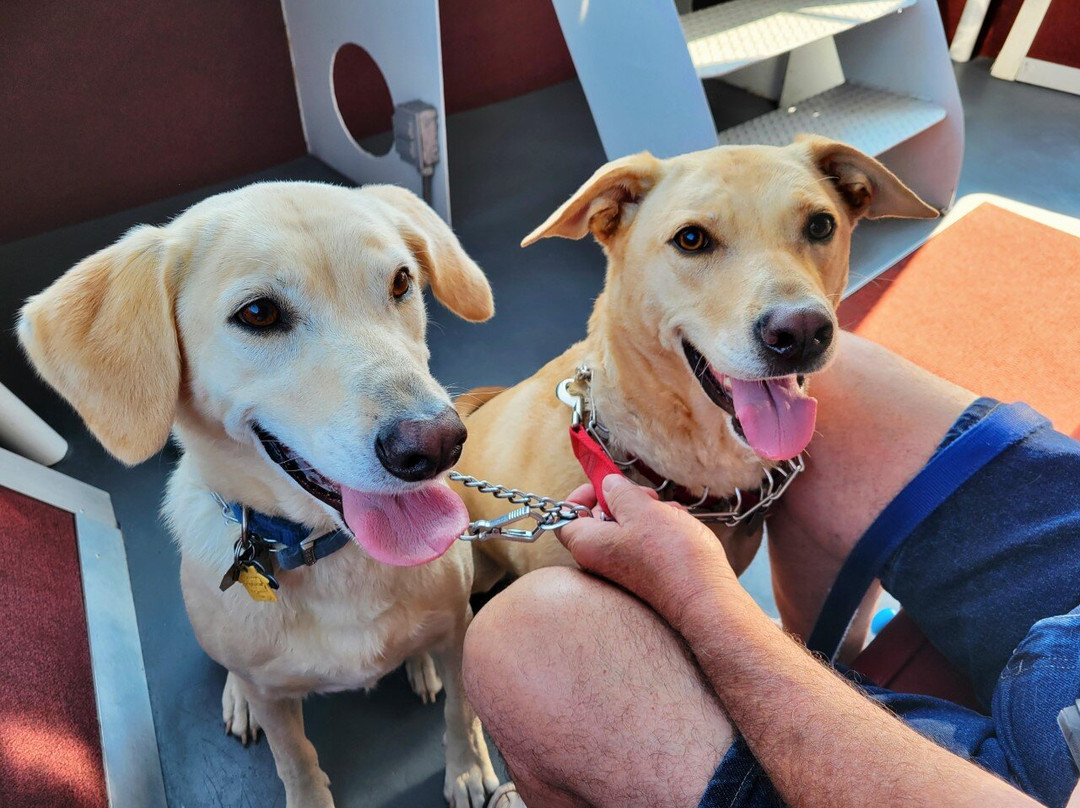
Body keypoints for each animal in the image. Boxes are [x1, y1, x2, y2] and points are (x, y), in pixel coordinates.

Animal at [19, 181, 501, 808]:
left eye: (401, 282)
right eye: (258, 314)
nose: (438, 443)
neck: (327, 550)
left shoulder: (462, 631)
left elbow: (462, 711)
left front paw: (467, 769)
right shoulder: (273, 696)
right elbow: (294, 758)